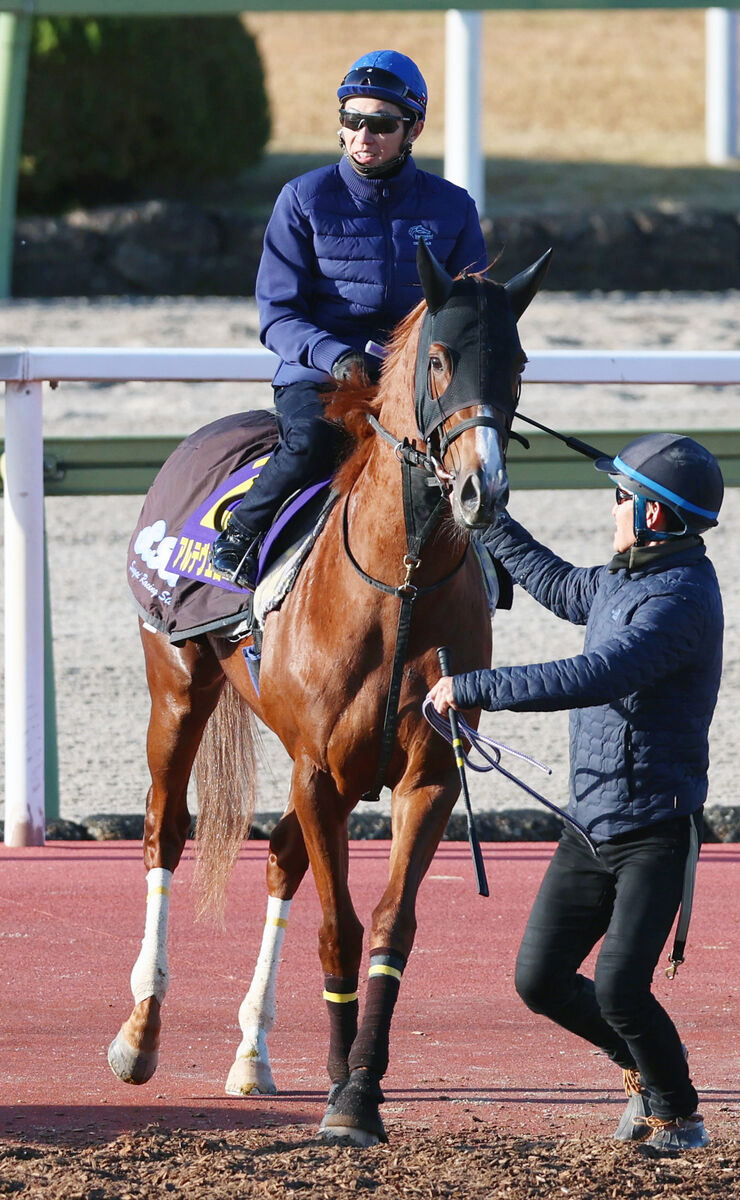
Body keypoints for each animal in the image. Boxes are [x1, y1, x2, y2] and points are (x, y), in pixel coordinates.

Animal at [107, 241, 549, 1142]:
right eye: (440, 359)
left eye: (518, 363)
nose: (480, 490)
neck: (400, 584)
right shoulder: (317, 772)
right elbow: (338, 930)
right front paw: (346, 1097)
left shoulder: (424, 778)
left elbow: (386, 927)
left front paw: (359, 1085)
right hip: (178, 690)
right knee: (164, 833)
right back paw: (140, 1031)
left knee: (280, 860)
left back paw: (253, 1052)